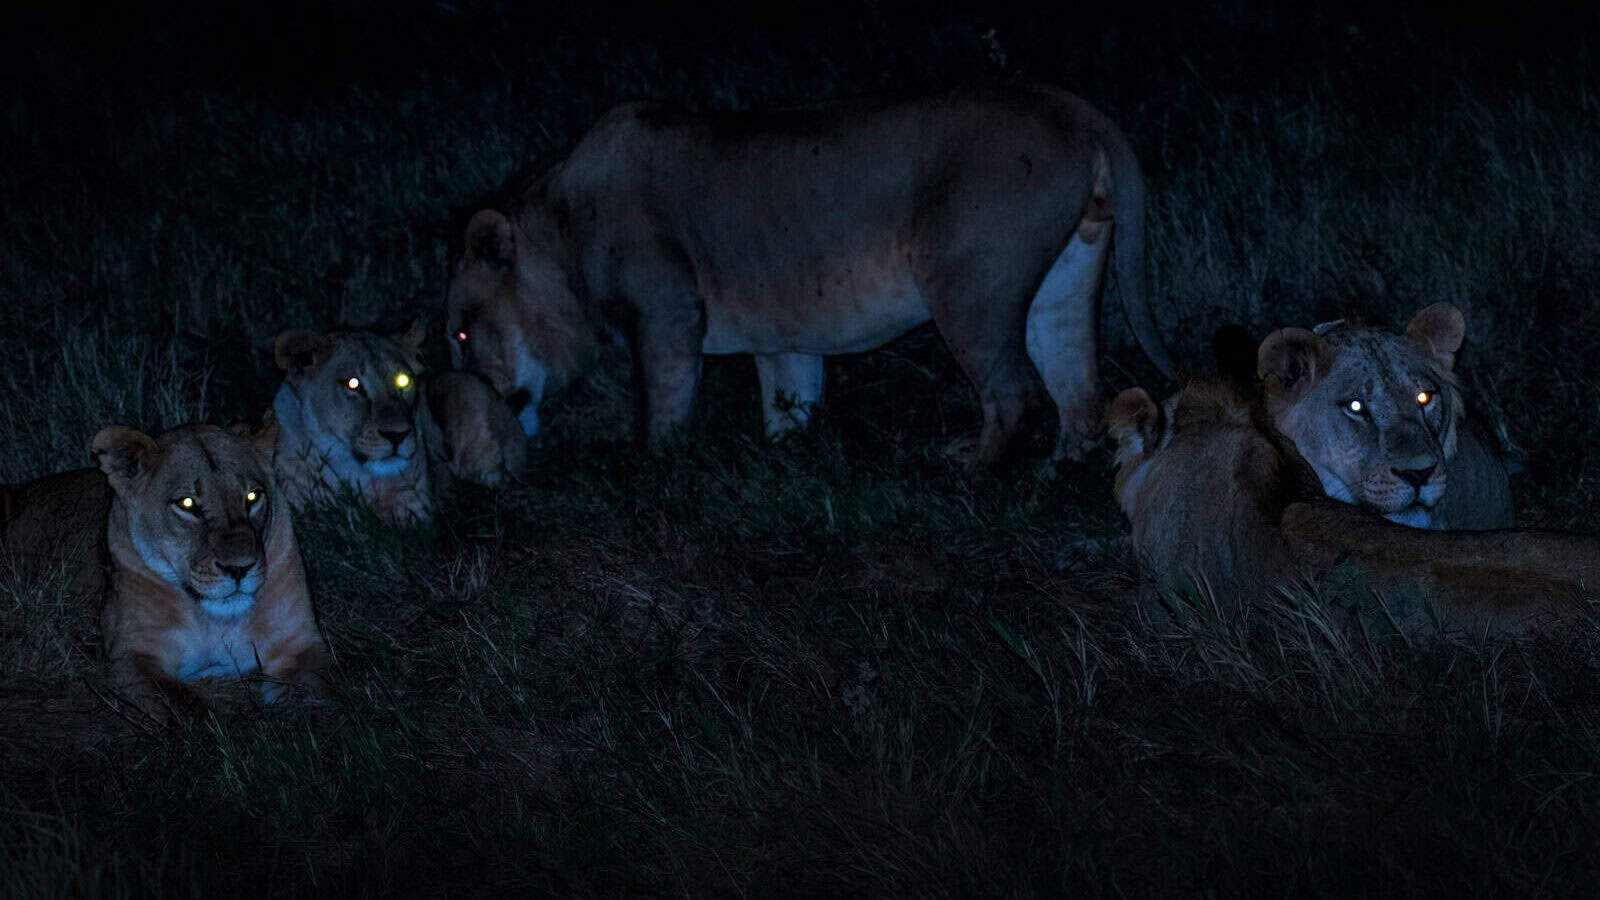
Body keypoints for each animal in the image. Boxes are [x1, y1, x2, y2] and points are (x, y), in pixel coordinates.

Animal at [0, 421, 330, 715]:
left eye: (252, 496)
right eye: (187, 504)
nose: (239, 569)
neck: (216, 619)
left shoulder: (301, 643)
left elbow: (314, 687)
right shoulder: (132, 657)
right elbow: (184, 705)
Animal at [447, 82, 1176, 469]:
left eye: (459, 335)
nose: (473, 406)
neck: (561, 224)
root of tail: (1072, 107)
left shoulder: (667, 313)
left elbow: (662, 408)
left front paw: (657, 473)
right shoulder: (783, 340)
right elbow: (787, 403)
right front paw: (784, 461)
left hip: (968, 285)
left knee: (1015, 394)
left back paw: (969, 475)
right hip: (1067, 278)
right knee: (1078, 392)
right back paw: (1054, 479)